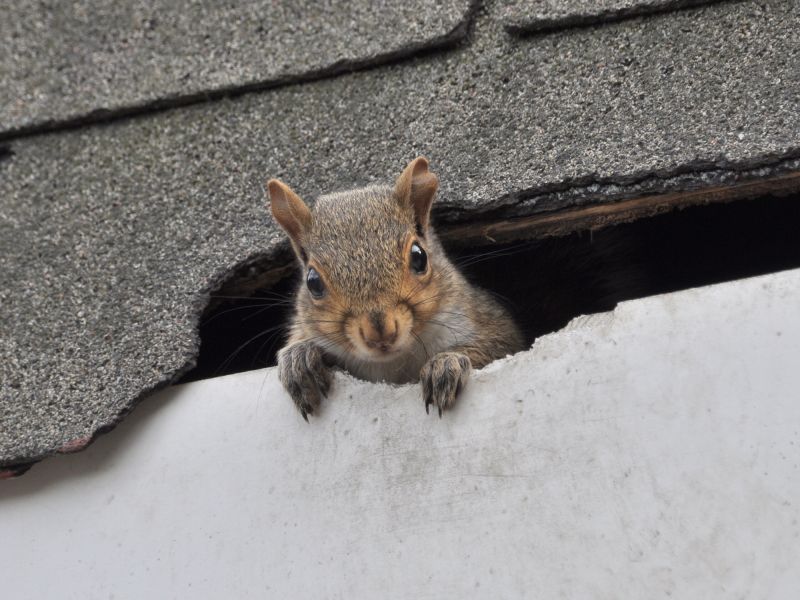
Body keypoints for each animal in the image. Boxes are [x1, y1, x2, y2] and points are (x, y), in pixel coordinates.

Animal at [266, 157, 524, 420]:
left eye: (419, 257)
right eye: (313, 282)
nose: (380, 333)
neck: (392, 364)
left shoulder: (481, 318)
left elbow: (496, 344)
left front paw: (445, 363)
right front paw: (298, 358)